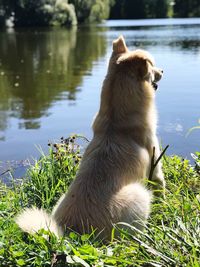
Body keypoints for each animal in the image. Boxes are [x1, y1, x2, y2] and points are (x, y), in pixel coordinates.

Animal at [16, 35, 165, 241]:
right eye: (153, 66)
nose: (162, 71)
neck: (115, 121)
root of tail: (72, 234)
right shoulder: (155, 162)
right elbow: (161, 186)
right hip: (140, 196)